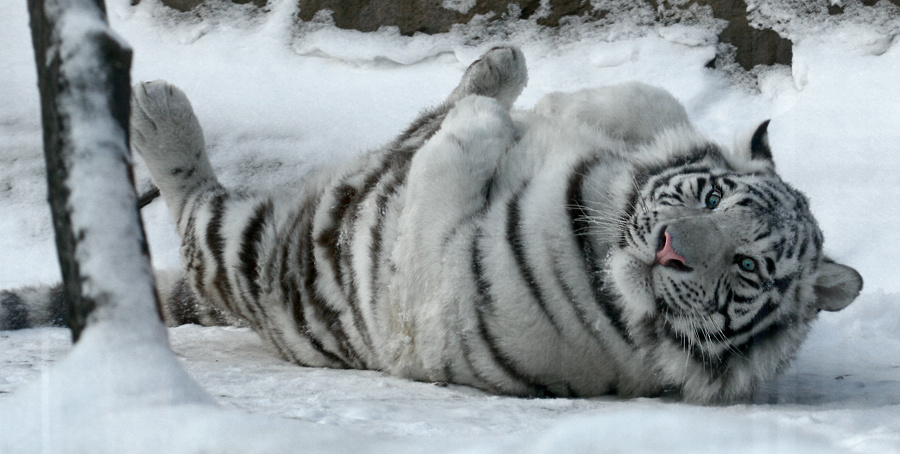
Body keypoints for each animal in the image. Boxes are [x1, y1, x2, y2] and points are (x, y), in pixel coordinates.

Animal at [1, 46, 862, 403]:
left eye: (747, 268)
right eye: (710, 201)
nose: (673, 248)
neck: (601, 222)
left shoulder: (430, 300)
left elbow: (453, 166)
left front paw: (494, 124)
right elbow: (650, 102)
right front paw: (569, 110)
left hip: (253, 250)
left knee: (198, 210)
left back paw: (156, 107)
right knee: (422, 120)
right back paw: (501, 65)